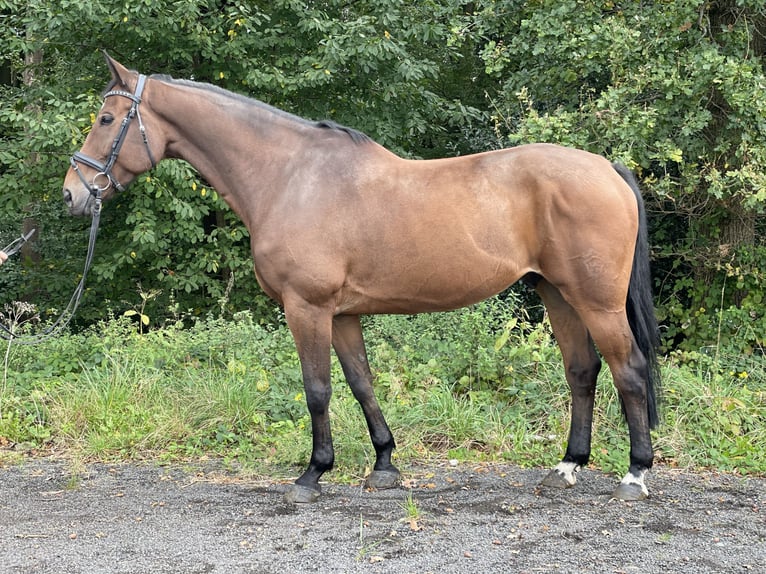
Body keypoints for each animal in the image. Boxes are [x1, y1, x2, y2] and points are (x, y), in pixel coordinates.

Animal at [64, 54, 660, 504]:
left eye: (106, 119)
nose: (73, 194)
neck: (289, 177)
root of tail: (607, 167)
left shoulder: (306, 307)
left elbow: (317, 389)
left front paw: (312, 475)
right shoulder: (343, 313)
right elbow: (361, 384)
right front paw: (384, 465)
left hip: (596, 302)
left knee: (628, 370)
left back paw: (634, 475)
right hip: (558, 294)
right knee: (582, 372)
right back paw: (567, 467)